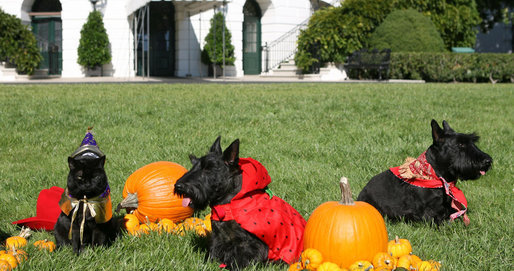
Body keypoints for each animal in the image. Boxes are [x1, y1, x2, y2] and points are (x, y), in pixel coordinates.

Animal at [174, 137, 306, 270]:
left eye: (208, 169)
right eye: (194, 164)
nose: (178, 186)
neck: (228, 203)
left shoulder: (249, 244)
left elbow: (241, 259)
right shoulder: (217, 237)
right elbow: (214, 252)